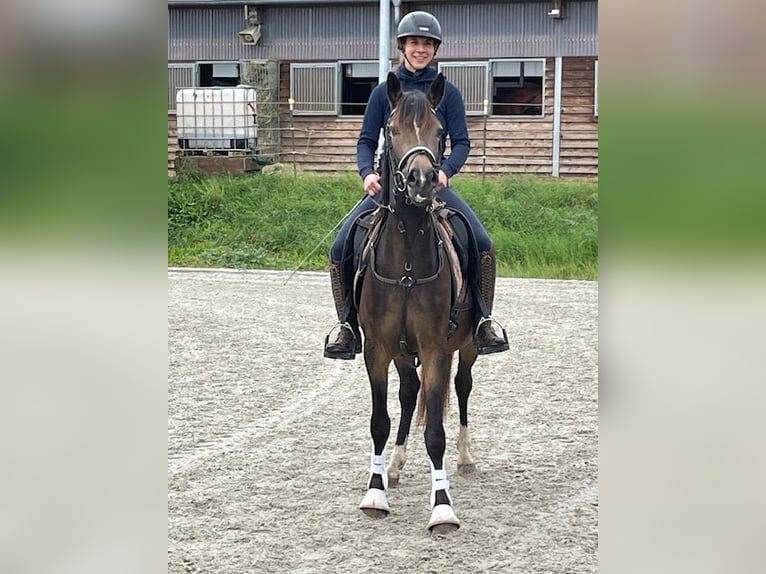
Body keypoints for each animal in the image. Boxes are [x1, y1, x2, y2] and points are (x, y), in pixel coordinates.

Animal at [356, 72, 480, 536]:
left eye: (440, 131)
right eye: (391, 130)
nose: (423, 180)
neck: (408, 255)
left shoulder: (435, 348)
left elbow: (437, 434)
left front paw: (442, 507)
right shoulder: (377, 348)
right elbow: (380, 421)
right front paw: (375, 493)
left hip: (468, 346)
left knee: (462, 388)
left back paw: (465, 457)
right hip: (401, 353)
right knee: (409, 394)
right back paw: (394, 464)